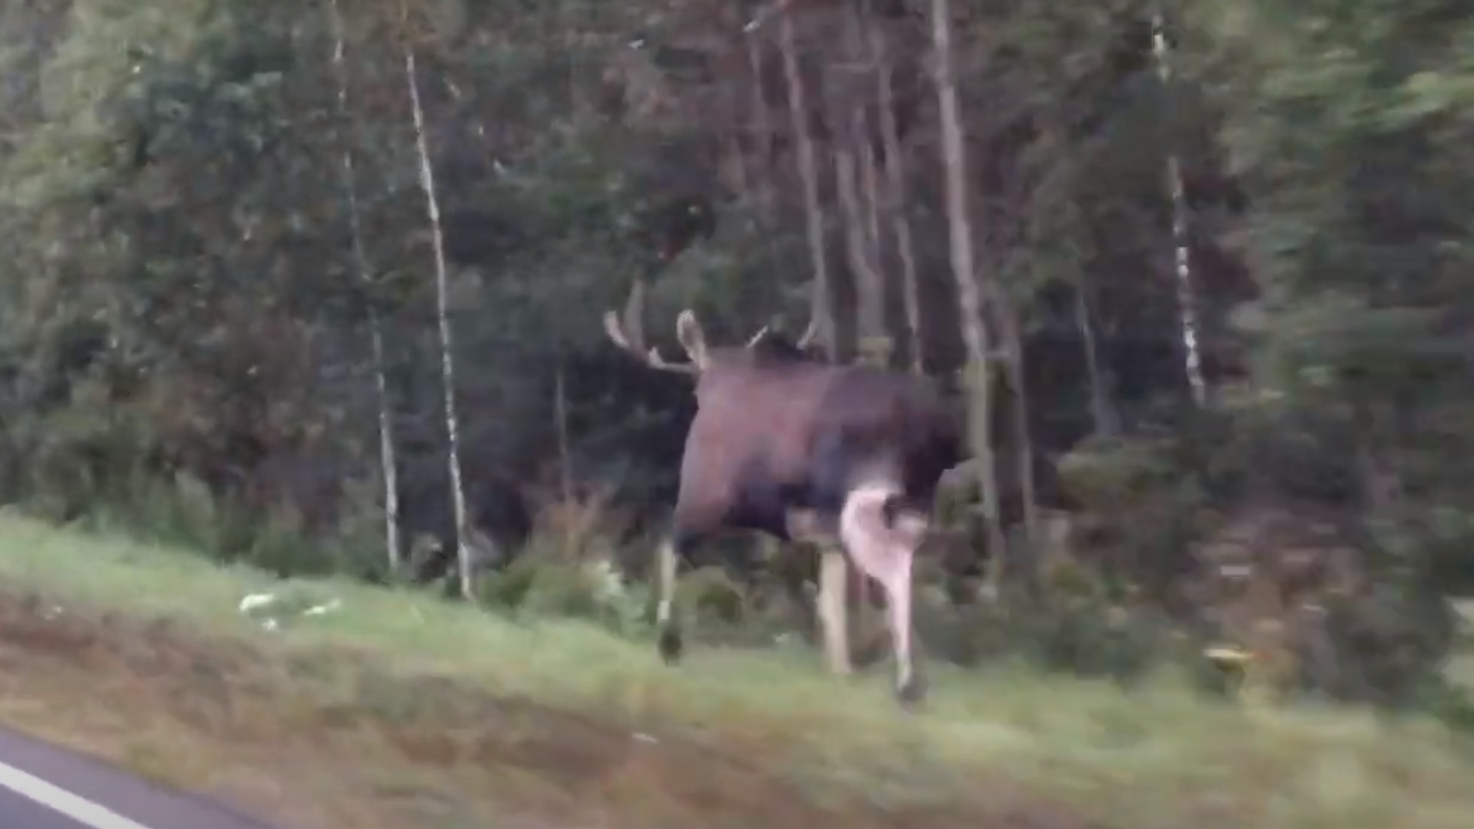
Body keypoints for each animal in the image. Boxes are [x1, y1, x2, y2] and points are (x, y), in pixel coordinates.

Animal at [601, 280, 966, 699]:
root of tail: (935, 420)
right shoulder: (825, 532)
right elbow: (829, 599)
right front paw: (840, 670)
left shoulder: (703, 491)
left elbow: (668, 548)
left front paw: (668, 641)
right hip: (914, 497)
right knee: (901, 557)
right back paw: (910, 676)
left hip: (867, 488)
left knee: (890, 560)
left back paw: (907, 682)